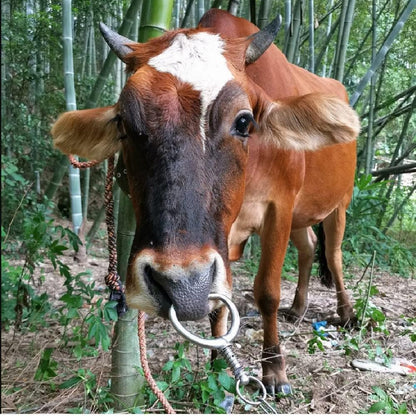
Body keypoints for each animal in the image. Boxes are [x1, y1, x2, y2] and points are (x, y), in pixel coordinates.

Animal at [52, 8, 360, 394]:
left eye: (244, 121)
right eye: (123, 124)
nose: (180, 286)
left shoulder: (280, 207)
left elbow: (267, 291)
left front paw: (274, 370)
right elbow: (217, 302)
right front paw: (218, 364)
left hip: (339, 204)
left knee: (332, 254)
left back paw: (347, 313)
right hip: (303, 217)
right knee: (308, 247)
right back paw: (298, 307)